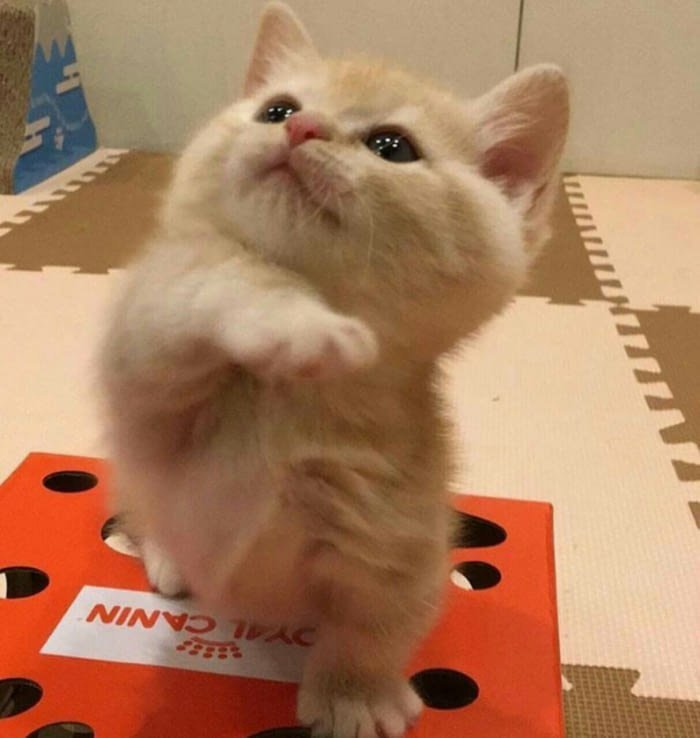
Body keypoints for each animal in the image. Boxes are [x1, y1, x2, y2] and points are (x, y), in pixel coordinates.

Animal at [98, 3, 568, 736]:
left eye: (392, 147)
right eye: (277, 107)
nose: (301, 126)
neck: (293, 408)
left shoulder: (399, 540)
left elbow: (377, 624)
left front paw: (355, 693)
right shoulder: (144, 372)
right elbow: (218, 275)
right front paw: (304, 325)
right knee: (143, 510)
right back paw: (171, 557)